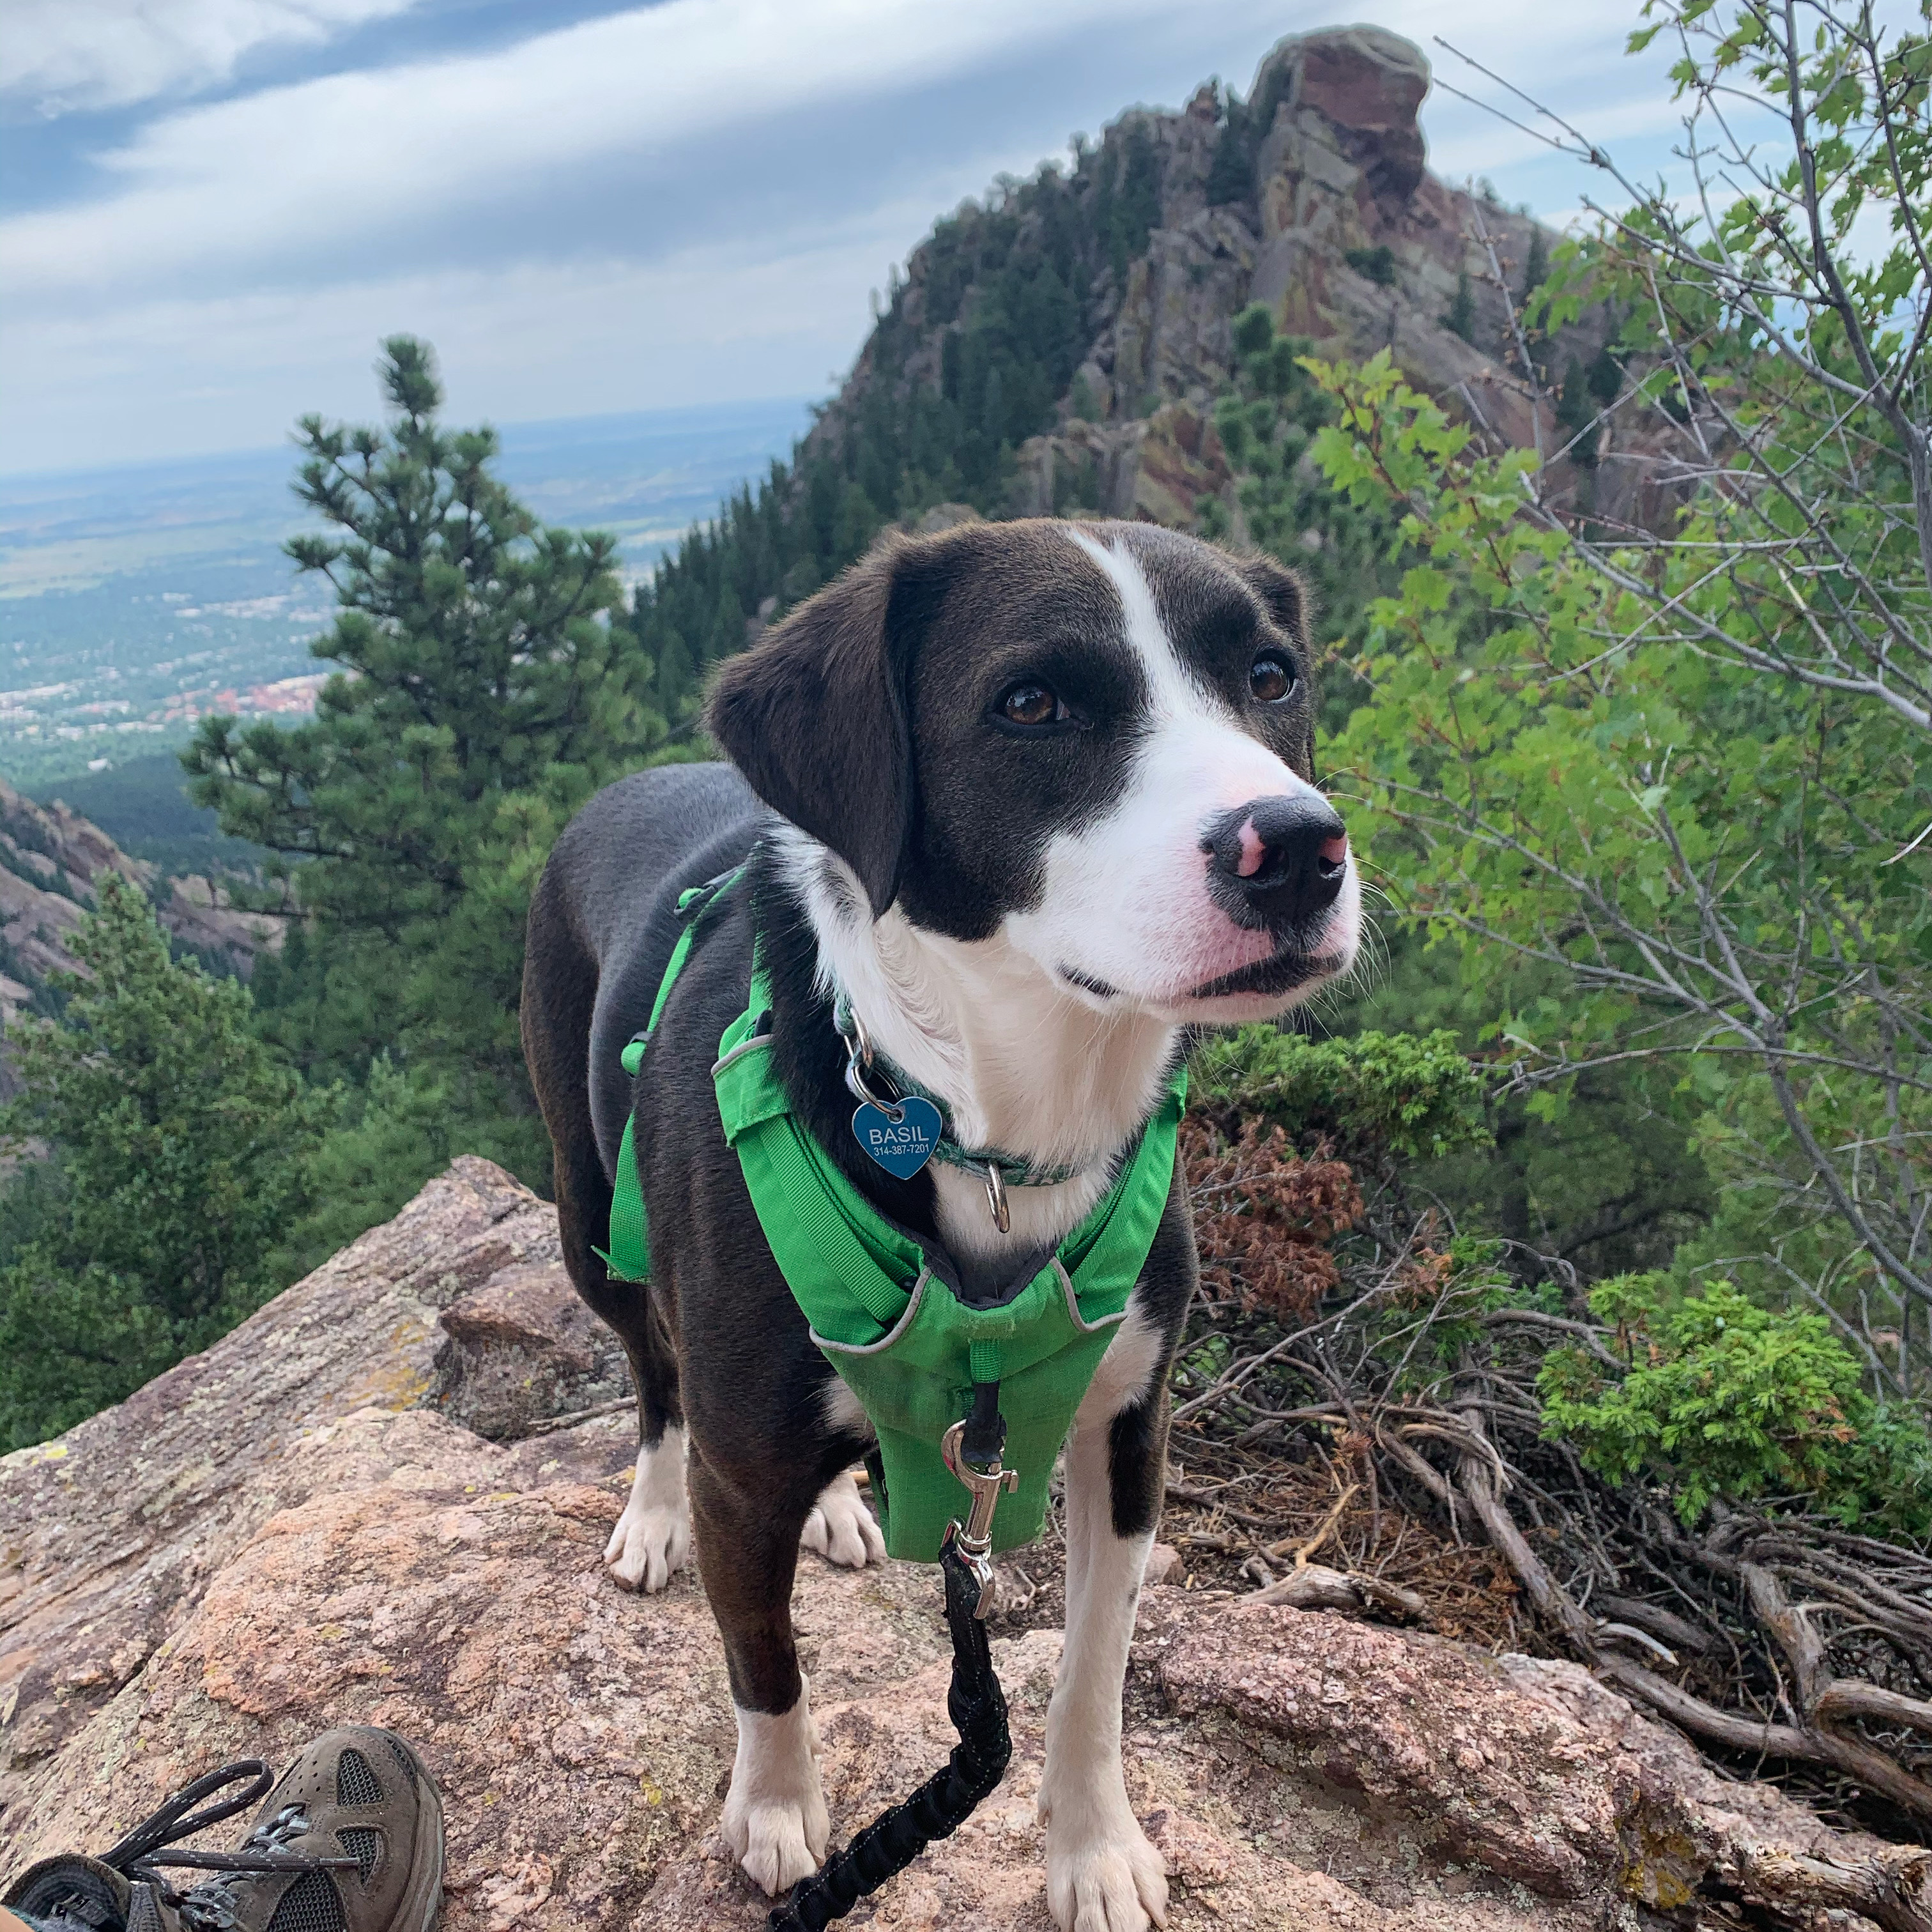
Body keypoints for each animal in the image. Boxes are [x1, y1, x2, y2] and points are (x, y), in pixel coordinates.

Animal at [514, 514, 1360, 1932]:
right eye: (1030, 703)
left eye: (1269, 674)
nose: (1297, 847)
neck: (994, 1124)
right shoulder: (745, 1465)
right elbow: (763, 1660)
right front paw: (777, 1814)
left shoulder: (1130, 1427)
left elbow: (1091, 1671)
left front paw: (1092, 1847)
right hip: (590, 1222)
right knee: (652, 1374)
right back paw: (653, 1512)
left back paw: (842, 1508)